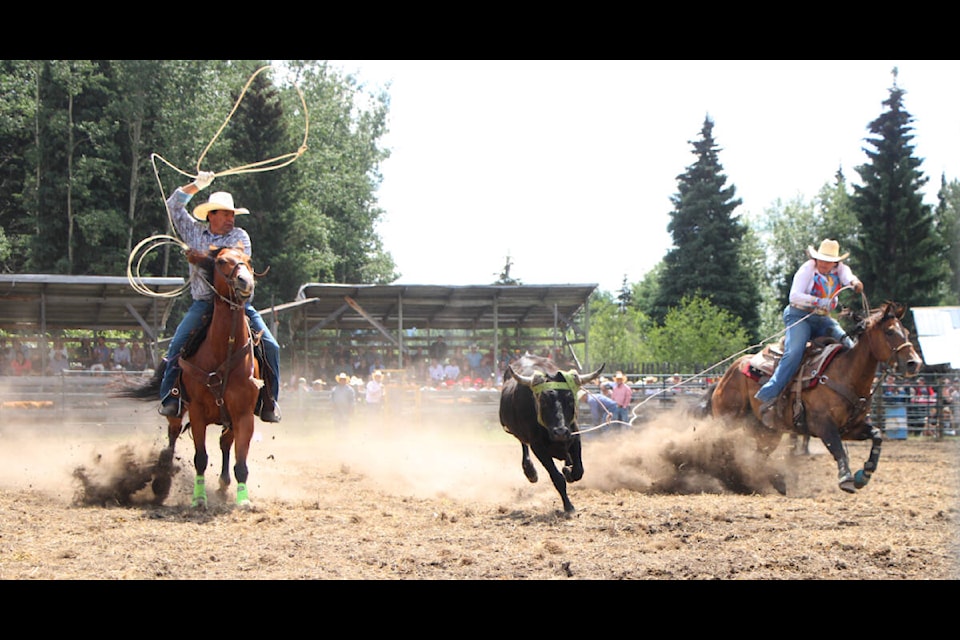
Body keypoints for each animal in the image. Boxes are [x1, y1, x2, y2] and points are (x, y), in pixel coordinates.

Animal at [118, 242, 264, 508]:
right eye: (221, 261)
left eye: (248, 261)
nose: (245, 282)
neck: (224, 348)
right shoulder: (196, 412)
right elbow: (200, 458)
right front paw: (198, 499)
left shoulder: (243, 414)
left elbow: (241, 462)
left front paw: (243, 500)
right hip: (176, 409)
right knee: (173, 435)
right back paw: (162, 479)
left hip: (229, 419)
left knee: (225, 444)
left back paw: (223, 484)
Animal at [704, 302, 924, 496]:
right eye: (889, 332)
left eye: (905, 331)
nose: (914, 363)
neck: (846, 375)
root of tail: (727, 374)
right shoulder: (823, 425)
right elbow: (837, 448)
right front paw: (846, 479)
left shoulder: (851, 428)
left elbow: (877, 435)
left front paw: (865, 474)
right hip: (729, 419)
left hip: (767, 430)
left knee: (758, 456)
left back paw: (776, 482)